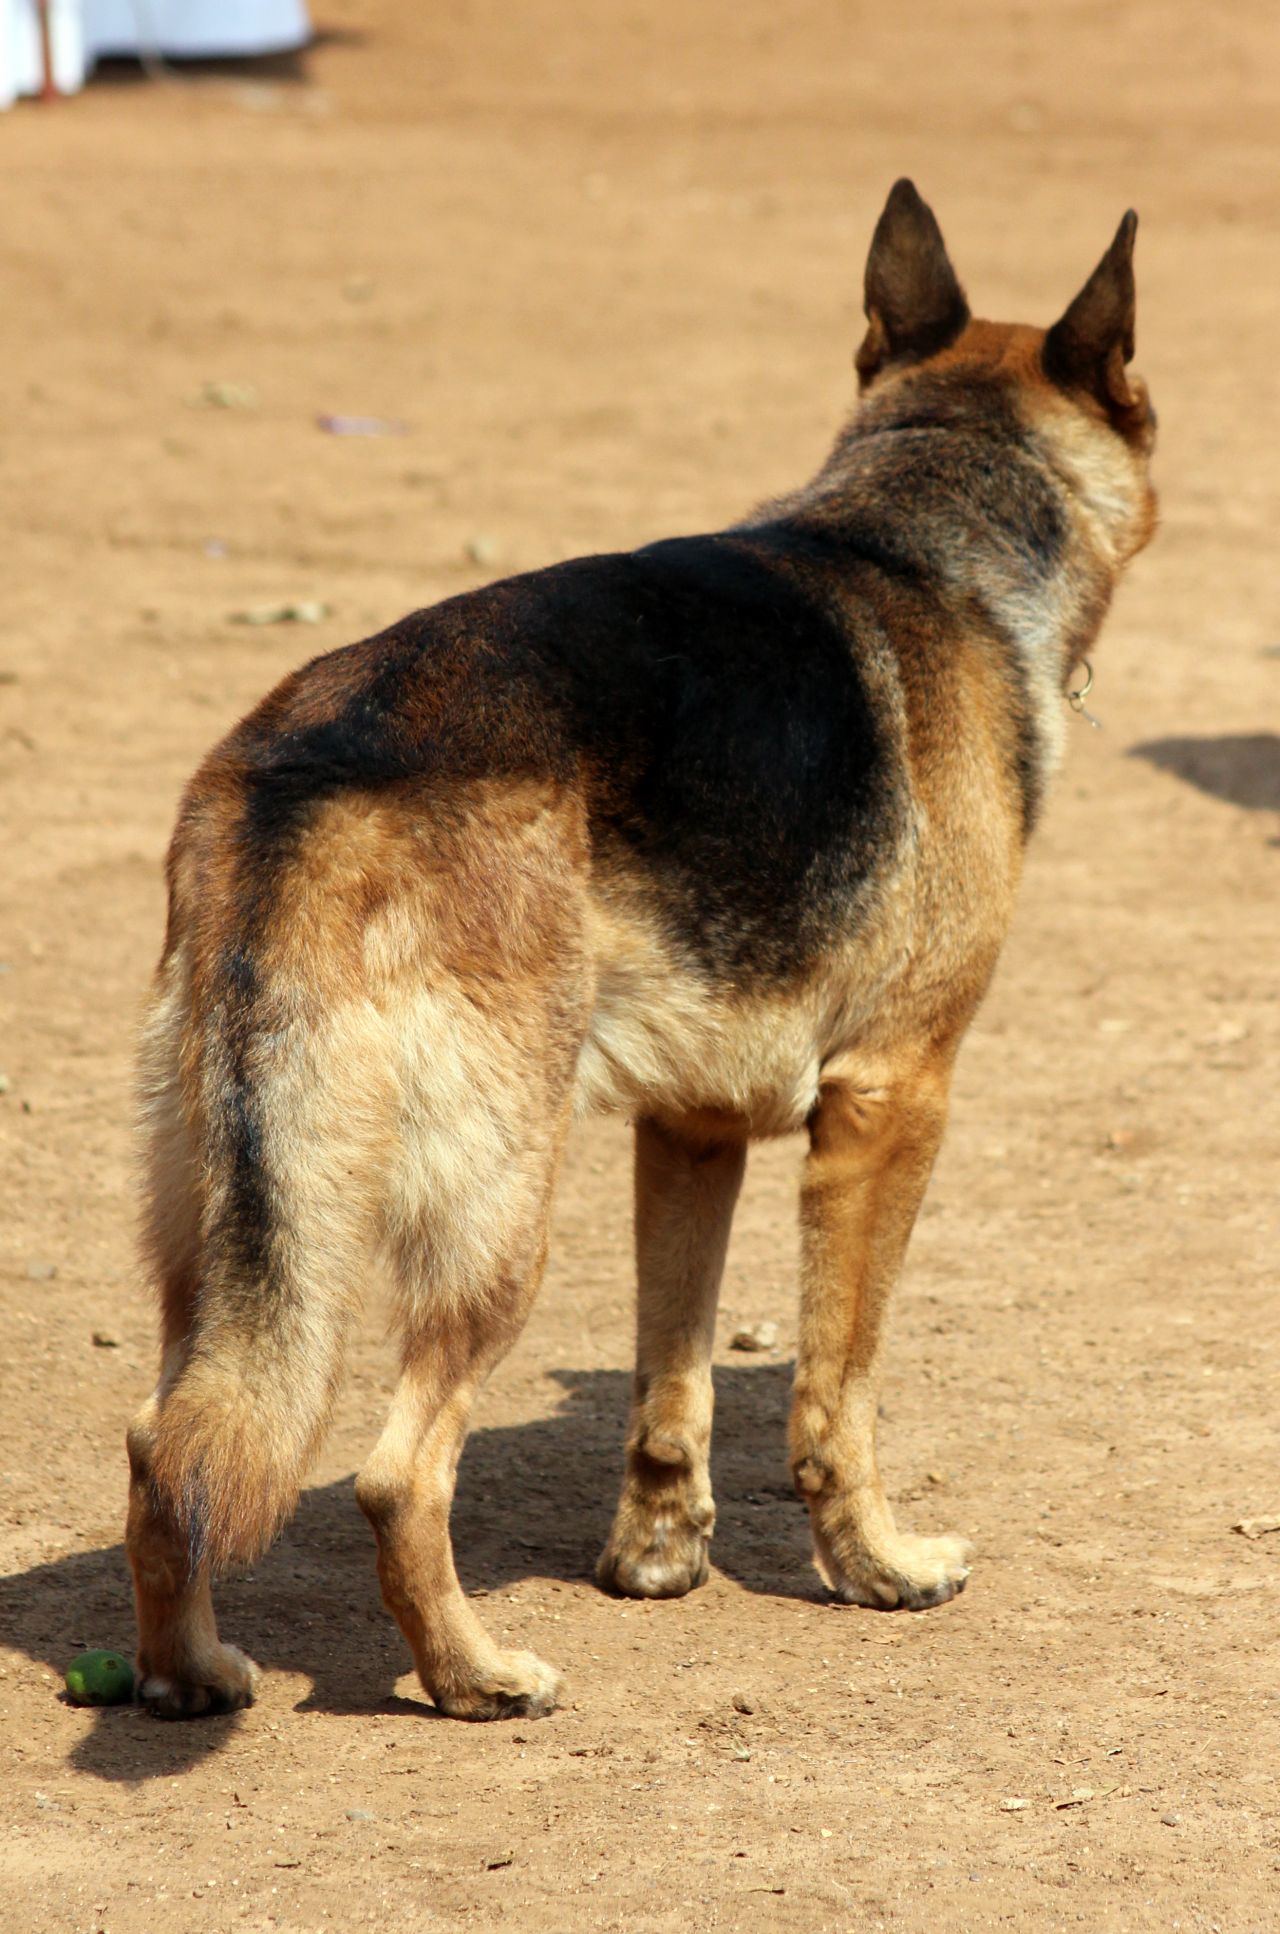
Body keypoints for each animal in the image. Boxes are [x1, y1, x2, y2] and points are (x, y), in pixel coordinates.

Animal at [125, 184, 1160, 1725]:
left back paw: (184, 1670)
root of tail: (301, 774)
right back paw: (476, 1676)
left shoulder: (691, 1127)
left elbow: (673, 1378)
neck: (926, 533)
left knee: (170, 1441)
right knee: (393, 1472)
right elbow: (837, 1388)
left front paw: (656, 1560)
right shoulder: (892, 1105)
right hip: (496, 1212)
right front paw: (877, 1567)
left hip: (226, 1228)